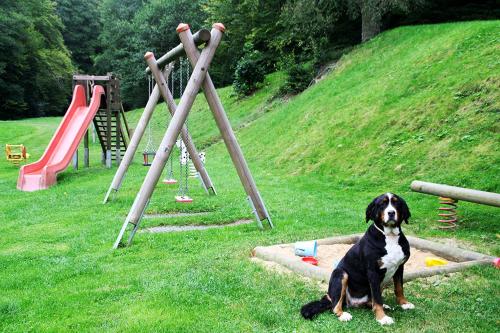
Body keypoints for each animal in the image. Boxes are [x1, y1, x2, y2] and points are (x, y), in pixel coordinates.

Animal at [300, 192, 414, 324]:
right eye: (382, 204)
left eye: (396, 203)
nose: (391, 213)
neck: (390, 236)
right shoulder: (373, 272)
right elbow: (377, 299)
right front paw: (382, 318)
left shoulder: (399, 267)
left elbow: (399, 288)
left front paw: (404, 303)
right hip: (341, 274)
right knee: (335, 305)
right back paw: (343, 315)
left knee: (370, 301)